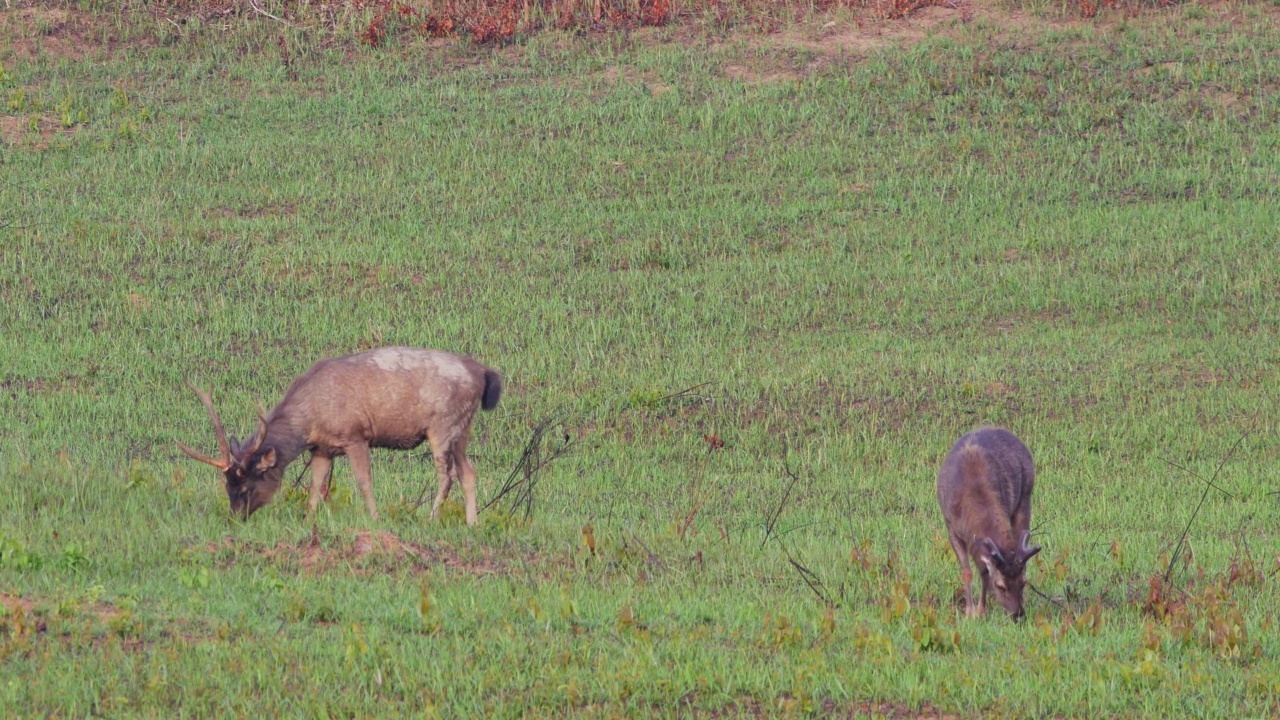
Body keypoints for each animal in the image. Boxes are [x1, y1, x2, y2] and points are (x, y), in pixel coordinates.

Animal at [174, 345, 499, 520]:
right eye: (226, 487)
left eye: (244, 488)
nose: (236, 518)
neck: (309, 422)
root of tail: (484, 372)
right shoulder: (322, 448)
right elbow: (316, 485)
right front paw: (308, 518)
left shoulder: (355, 435)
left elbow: (363, 481)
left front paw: (375, 518)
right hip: (462, 428)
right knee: (469, 471)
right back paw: (473, 522)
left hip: (442, 425)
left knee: (447, 475)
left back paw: (430, 518)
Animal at [942, 425, 1039, 617]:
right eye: (1000, 586)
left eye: (1023, 582)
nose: (1018, 614)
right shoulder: (951, 527)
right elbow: (967, 571)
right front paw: (970, 612)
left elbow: (983, 572)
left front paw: (981, 610)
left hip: (1025, 497)